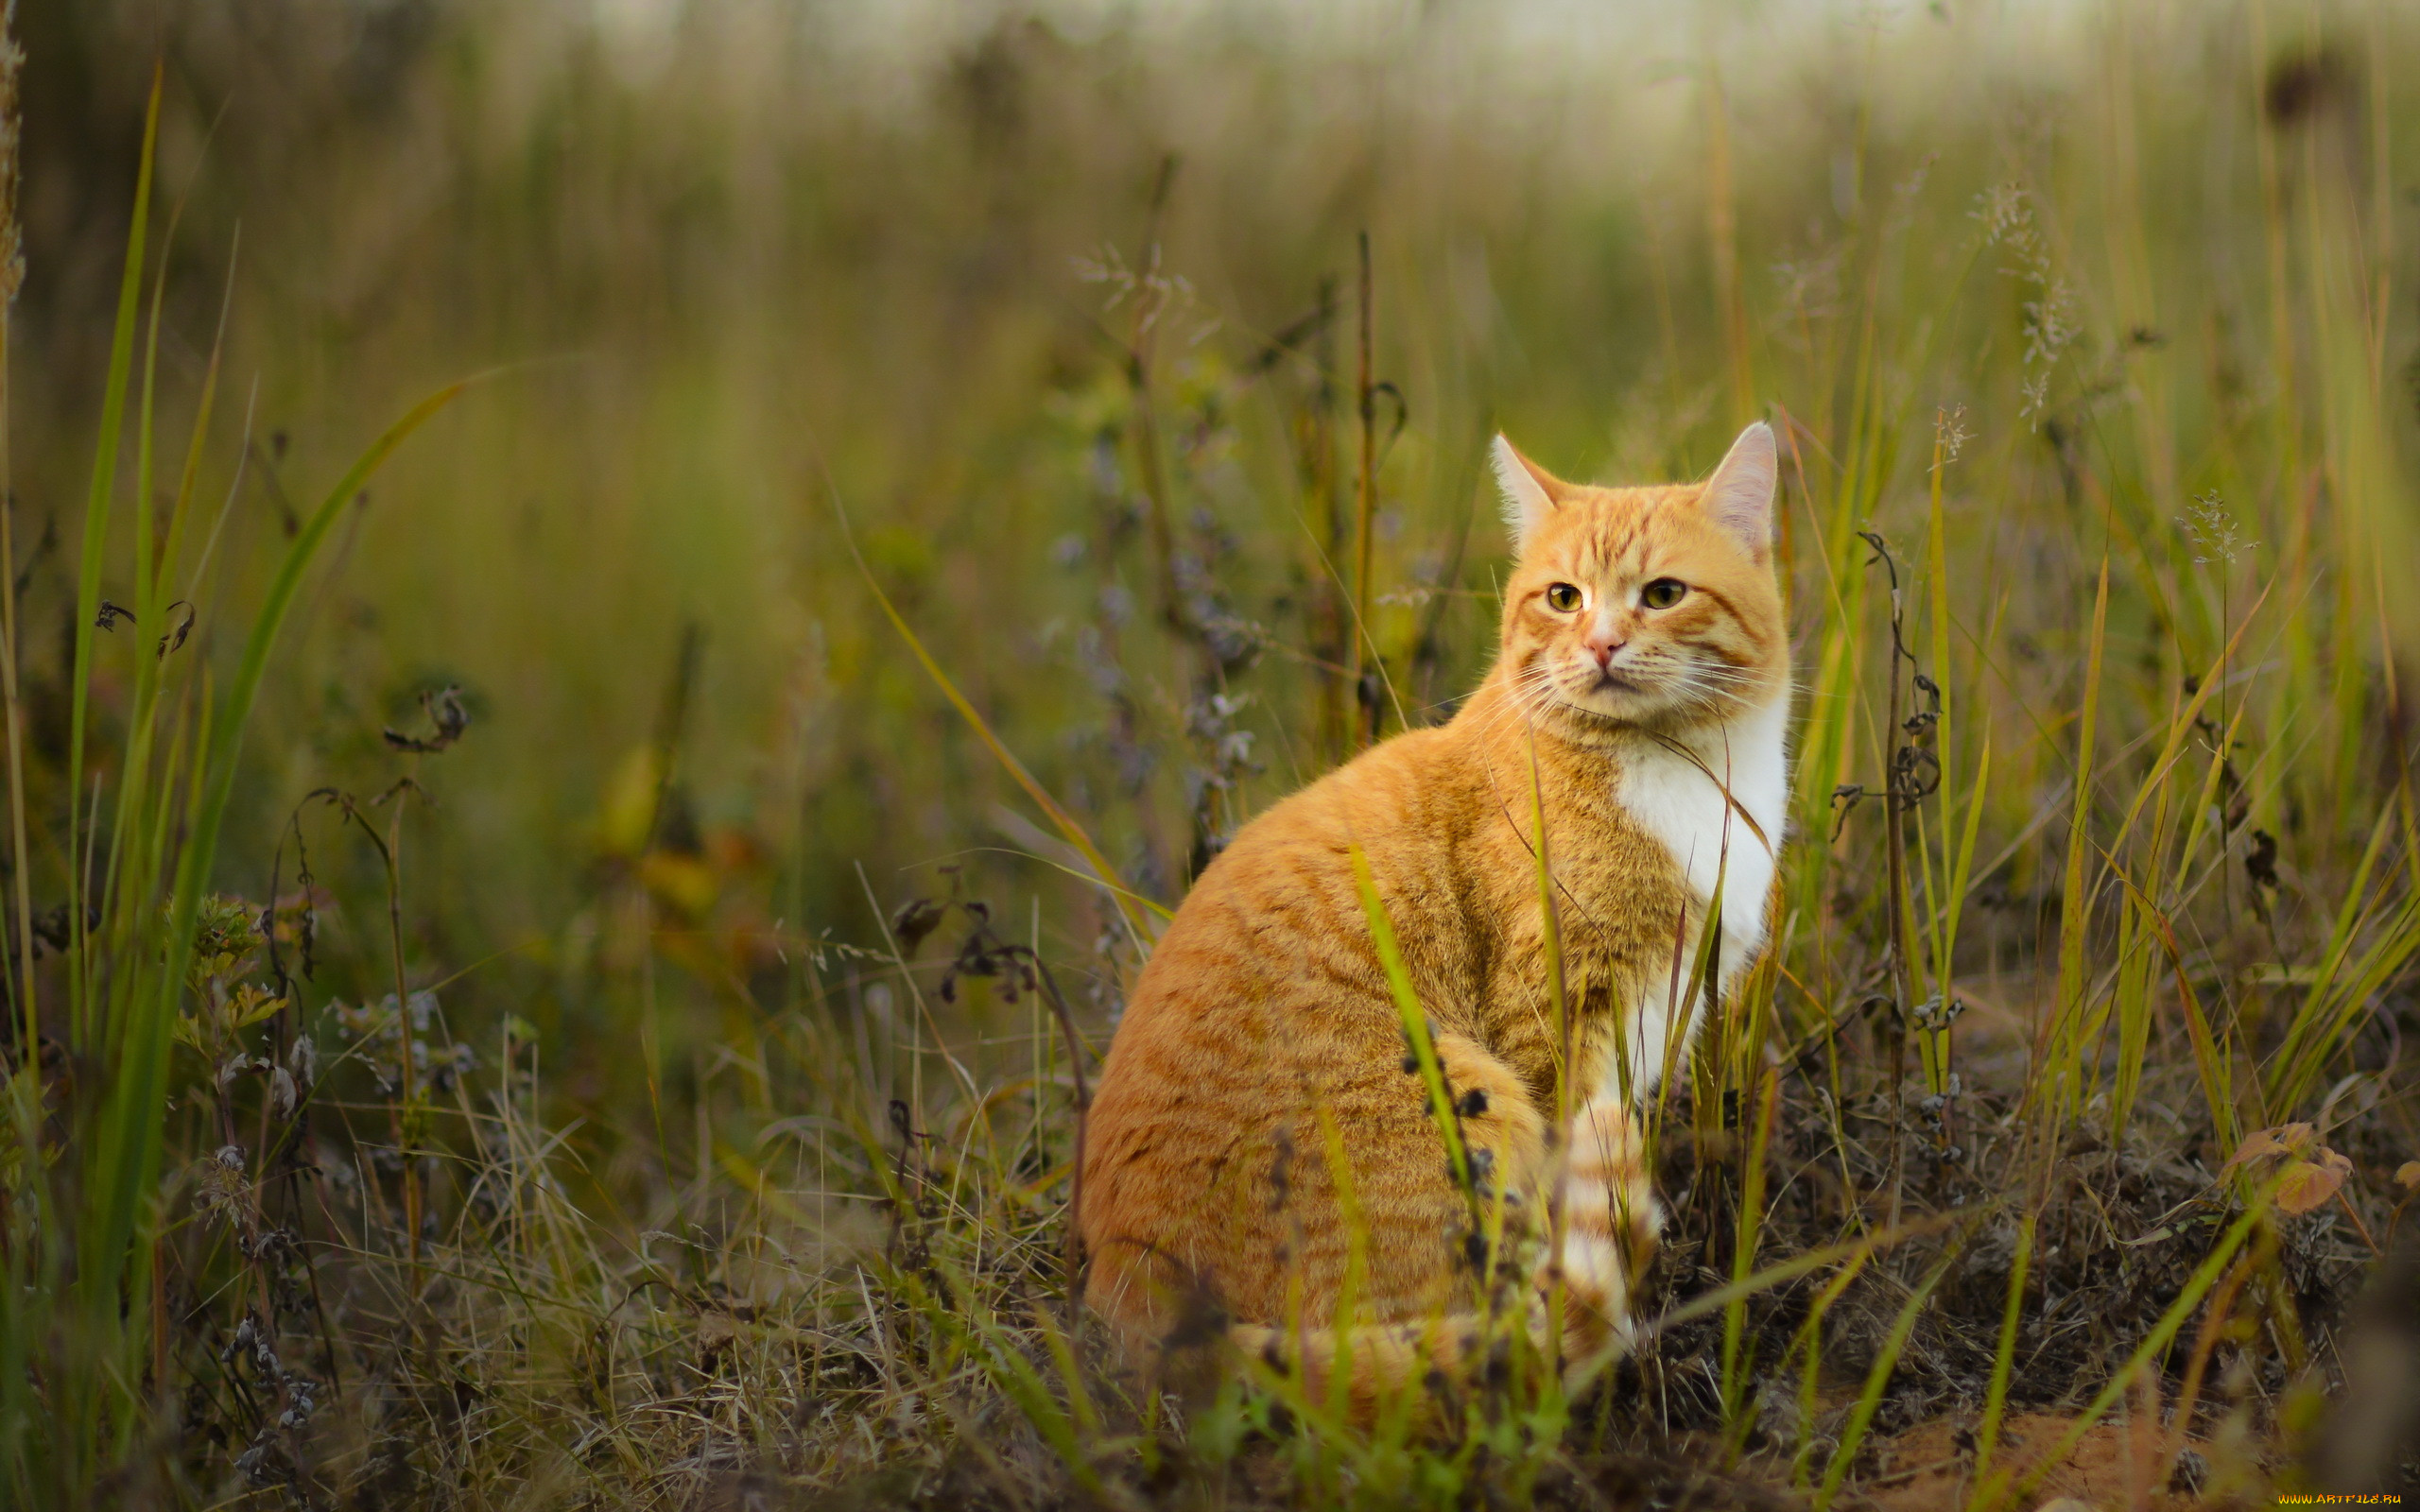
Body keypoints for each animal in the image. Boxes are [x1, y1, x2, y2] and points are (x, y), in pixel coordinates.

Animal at [1089, 421, 1790, 1402]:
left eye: (1662, 595)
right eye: (1563, 599)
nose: (1602, 646)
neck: (1676, 768)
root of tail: (1136, 1295)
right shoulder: (1558, 1020)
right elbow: (1579, 1168)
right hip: (1464, 1092)